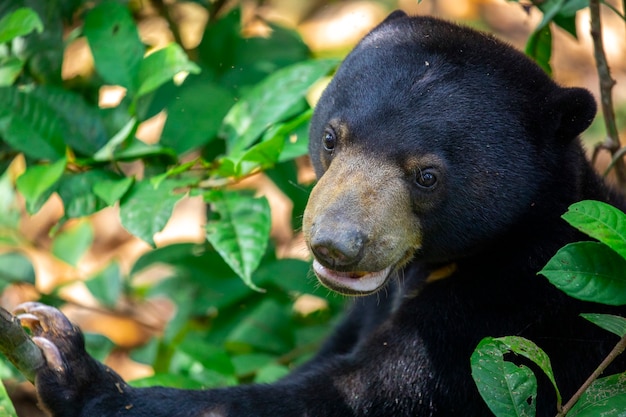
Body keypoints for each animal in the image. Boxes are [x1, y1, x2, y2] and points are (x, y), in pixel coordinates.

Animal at [8, 8, 624, 416]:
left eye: (426, 175)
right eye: (332, 137)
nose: (335, 244)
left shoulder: (500, 327)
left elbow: (342, 398)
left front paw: (74, 369)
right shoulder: (370, 312)